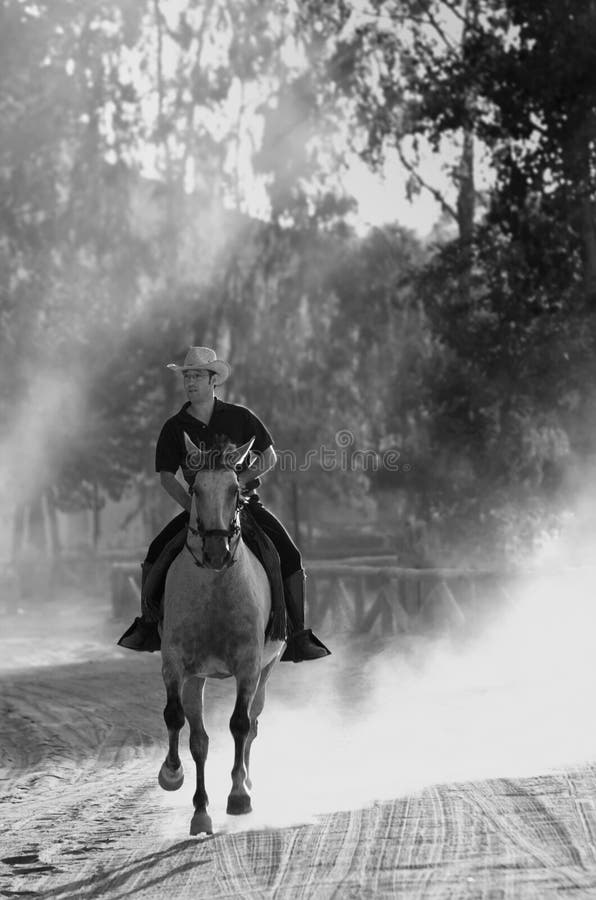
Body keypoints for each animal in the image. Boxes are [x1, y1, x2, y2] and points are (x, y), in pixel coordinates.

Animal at [157, 432, 286, 832]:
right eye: (196, 489)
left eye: (234, 489)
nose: (216, 551)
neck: (215, 587)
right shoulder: (177, 662)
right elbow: (177, 719)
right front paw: (172, 775)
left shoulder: (248, 664)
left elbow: (240, 724)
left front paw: (239, 796)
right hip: (198, 676)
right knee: (199, 737)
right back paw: (200, 809)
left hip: (267, 668)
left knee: (254, 722)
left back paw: (246, 781)